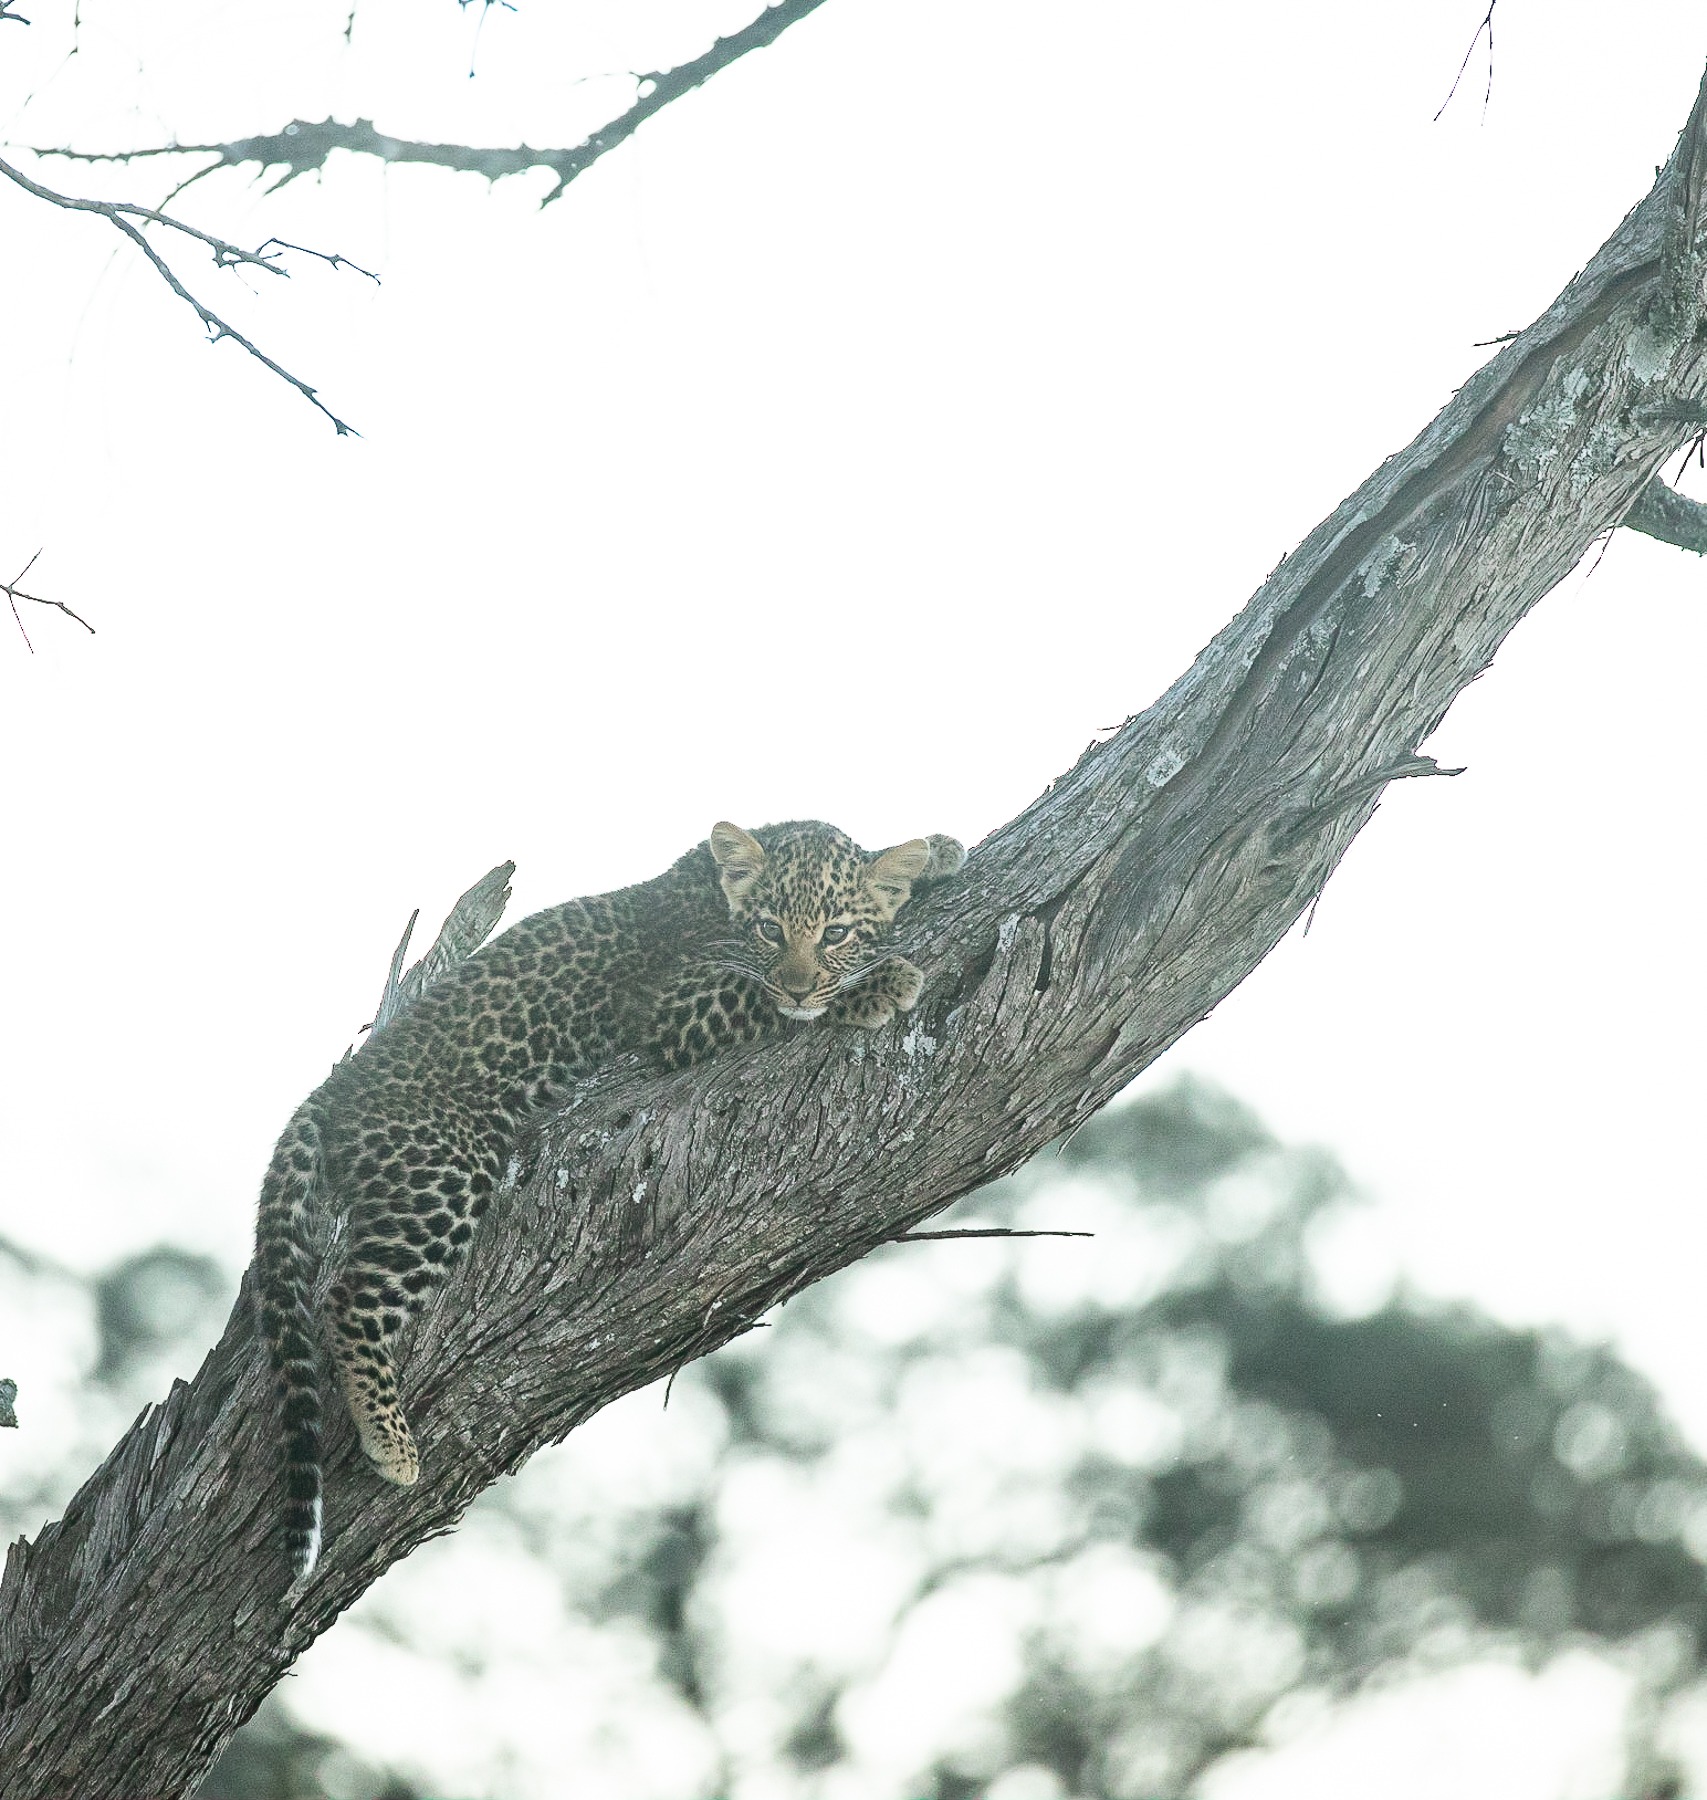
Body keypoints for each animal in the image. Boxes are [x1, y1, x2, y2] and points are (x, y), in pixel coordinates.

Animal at [255, 819, 965, 1581]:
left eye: (834, 932)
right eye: (771, 930)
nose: (799, 979)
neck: (717, 897)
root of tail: (333, 1091)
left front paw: (932, 854)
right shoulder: (677, 1008)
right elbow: (762, 998)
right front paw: (882, 982)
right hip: (443, 1168)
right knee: (350, 1297)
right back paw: (393, 1443)